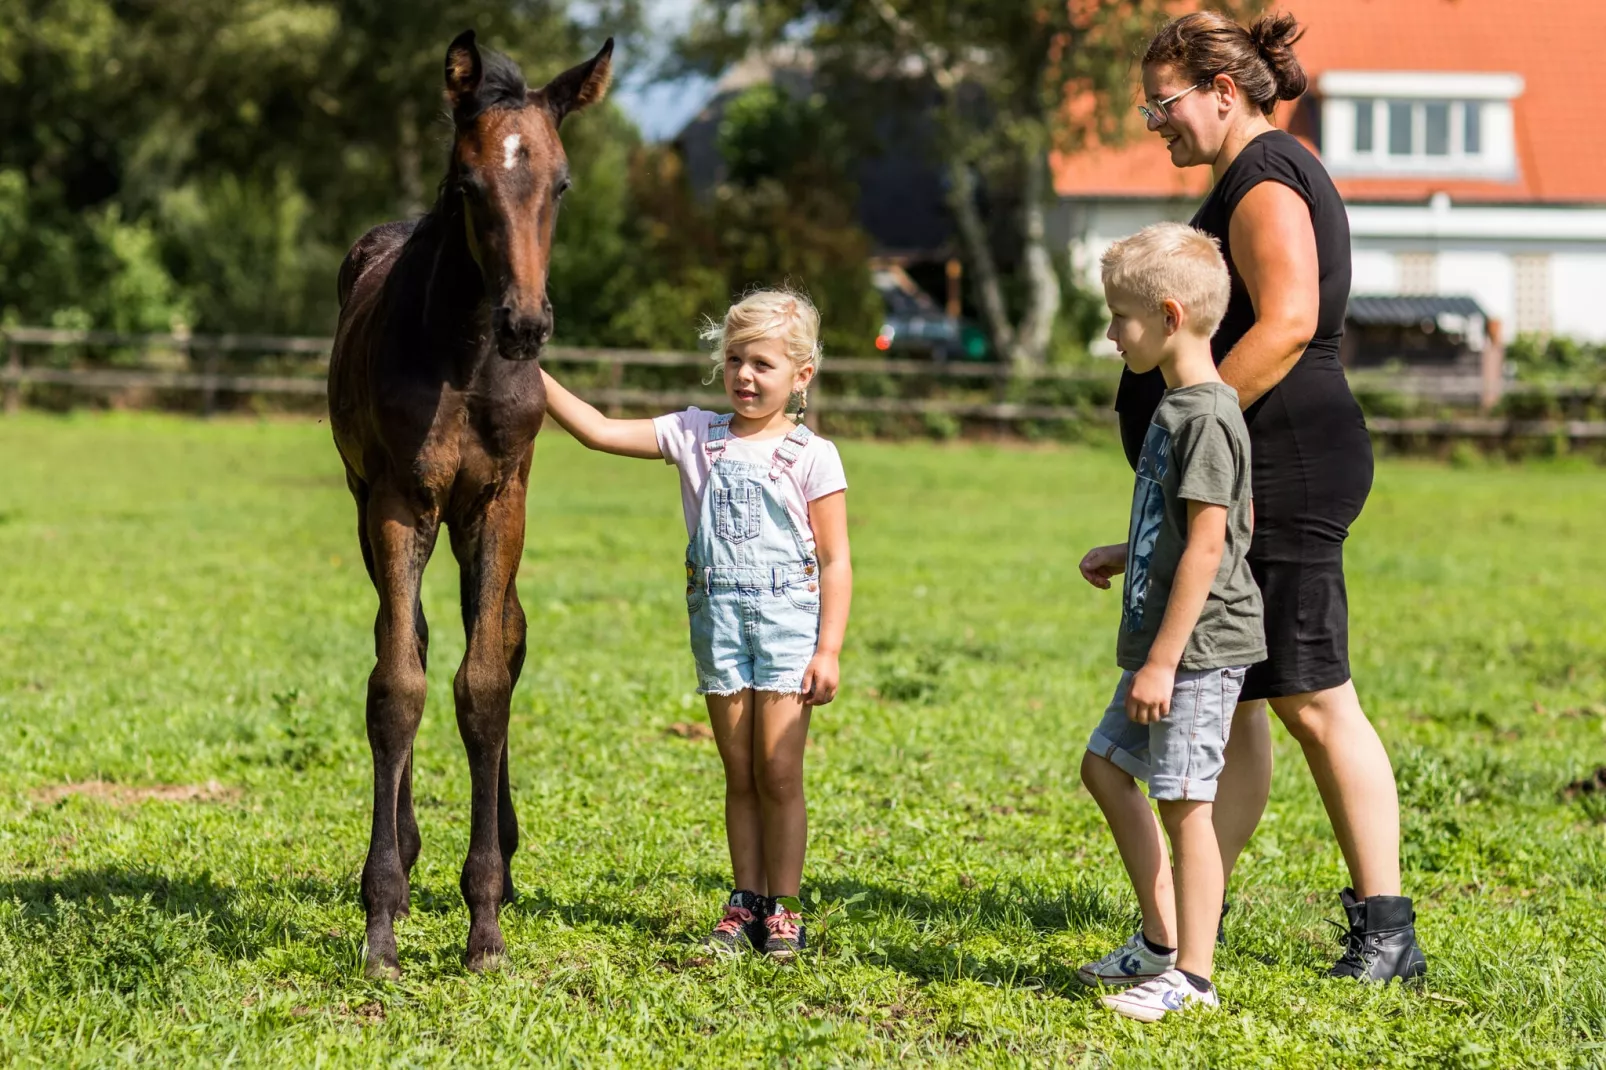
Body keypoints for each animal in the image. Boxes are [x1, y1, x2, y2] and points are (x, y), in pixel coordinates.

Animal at [324, 27, 607, 976]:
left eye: (561, 184)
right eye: (467, 184)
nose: (526, 324)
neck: (464, 352)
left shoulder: (497, 500)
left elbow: (485, 681)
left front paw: (485, 920)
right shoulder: (400, 500)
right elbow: (397, 686)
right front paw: (382, 918)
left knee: (505, 637)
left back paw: (505, 861)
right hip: (370, 504)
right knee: (405, 635)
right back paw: (408, 858)